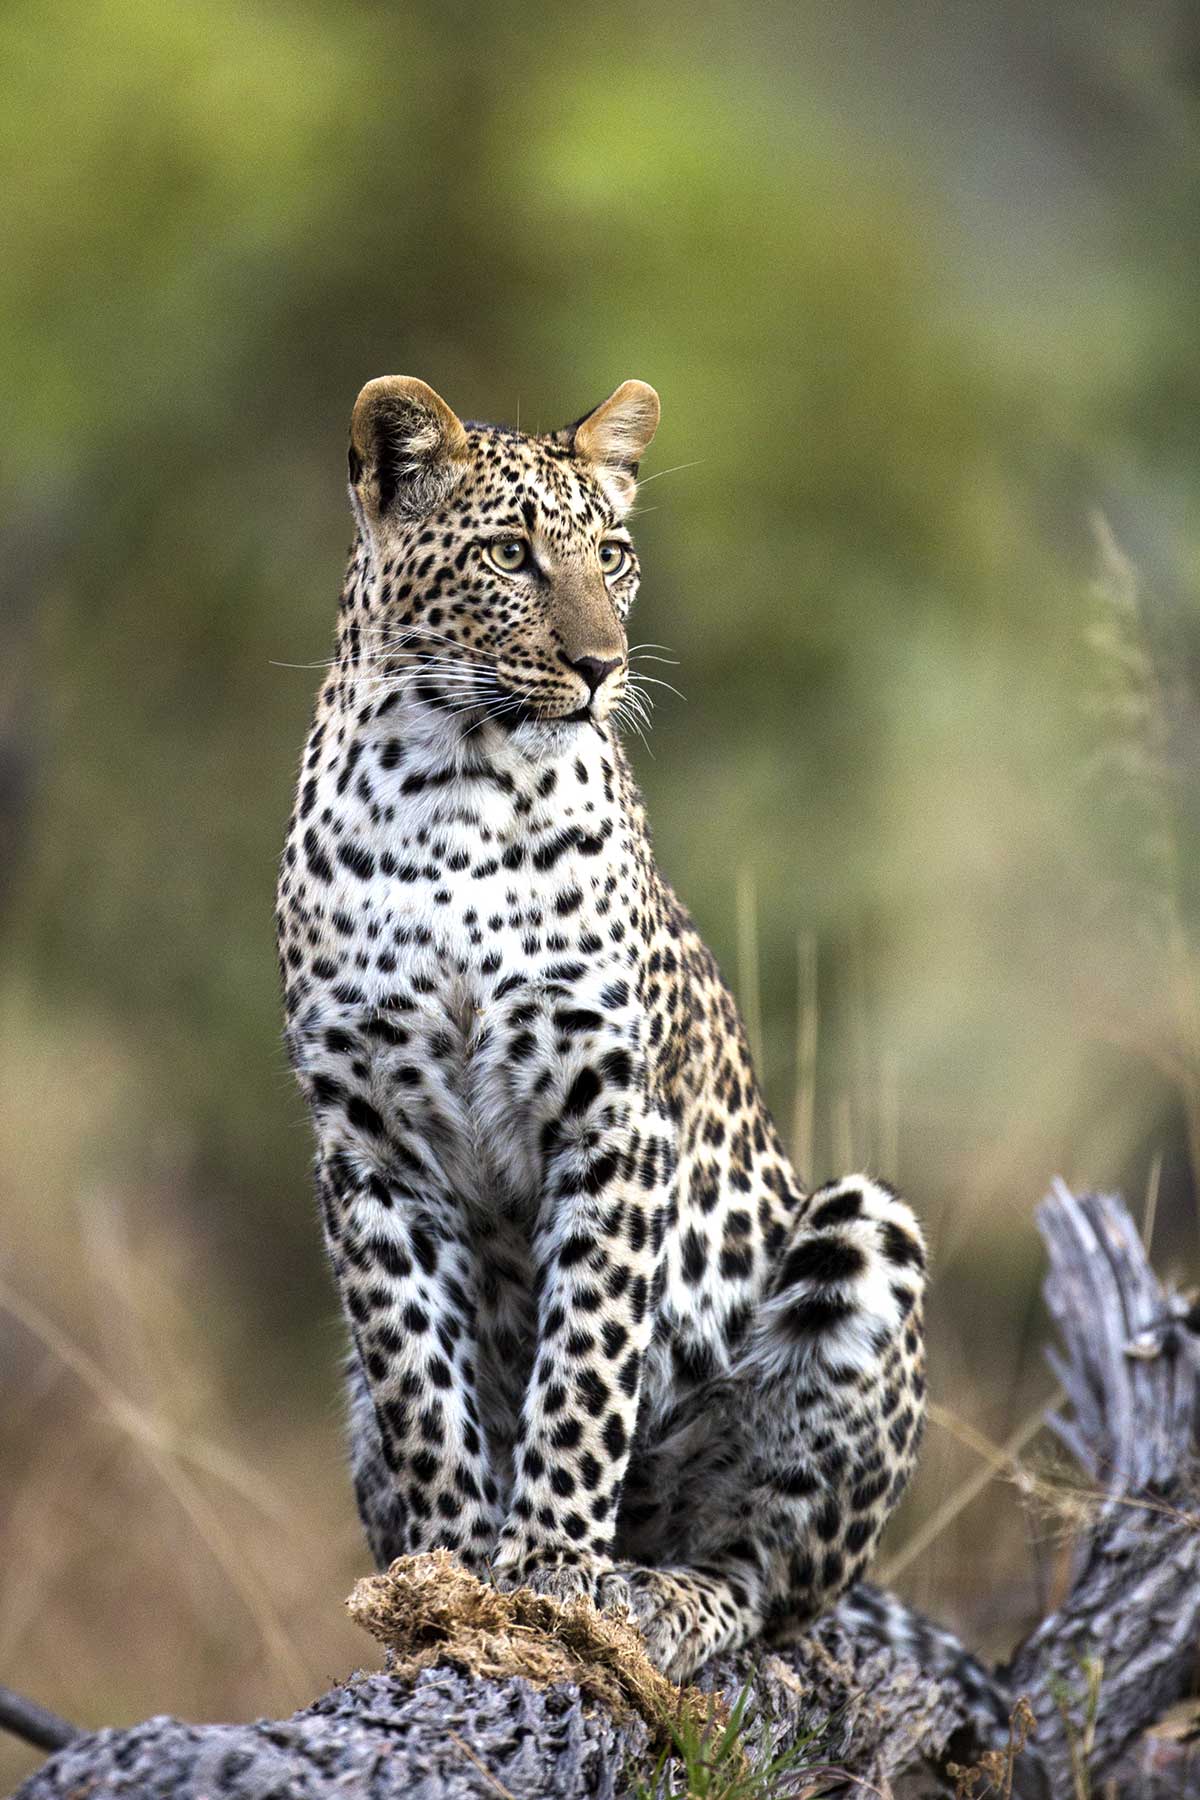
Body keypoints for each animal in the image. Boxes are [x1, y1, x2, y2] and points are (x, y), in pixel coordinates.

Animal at [278, 372, 928, 1677]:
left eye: (613, 555)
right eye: (510, 555)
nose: (600, 666)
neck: (452, 787)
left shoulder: (612, 1115)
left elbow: (585, 1362)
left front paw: (549, 1566)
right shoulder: (365, 1143)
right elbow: (421, 1378)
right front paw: (452, 1571)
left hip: (861, 1236)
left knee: (764, 1584)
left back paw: (654, 1595)